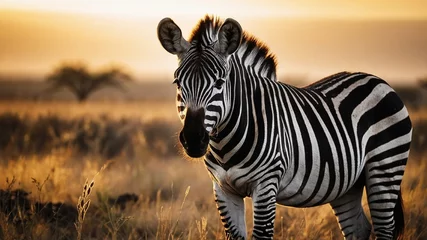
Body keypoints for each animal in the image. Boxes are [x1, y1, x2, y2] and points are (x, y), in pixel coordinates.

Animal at [158, 15, 414, 239]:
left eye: (220, 82)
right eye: (177, 82)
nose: (193, 139)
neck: (225, 146)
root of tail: (377, 80)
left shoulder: (266, 184)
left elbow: (262, 234)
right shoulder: (223, 189)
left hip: (385, 168)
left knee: (384, 228)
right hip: (347, 184)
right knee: (359, 229)